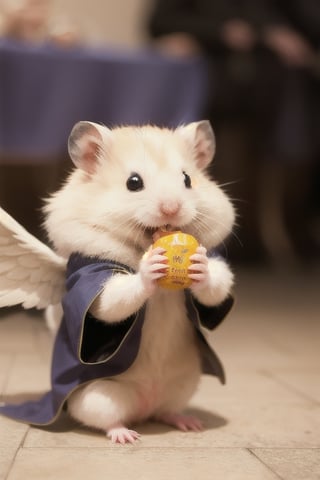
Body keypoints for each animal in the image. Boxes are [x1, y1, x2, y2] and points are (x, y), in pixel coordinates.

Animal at [43, 120, 235, 442]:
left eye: (187, 179)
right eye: (133, 182)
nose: (171, 209)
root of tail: (144, 407)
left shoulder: (218, 267)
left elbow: (217, 284)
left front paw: (200, 265)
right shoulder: (90, 274)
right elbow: (113, 301)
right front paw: (150, 266)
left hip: (184, 384)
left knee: (166, 411)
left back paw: (189, 423)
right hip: (98, 395)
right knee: (106, 418)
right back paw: (126, 436)